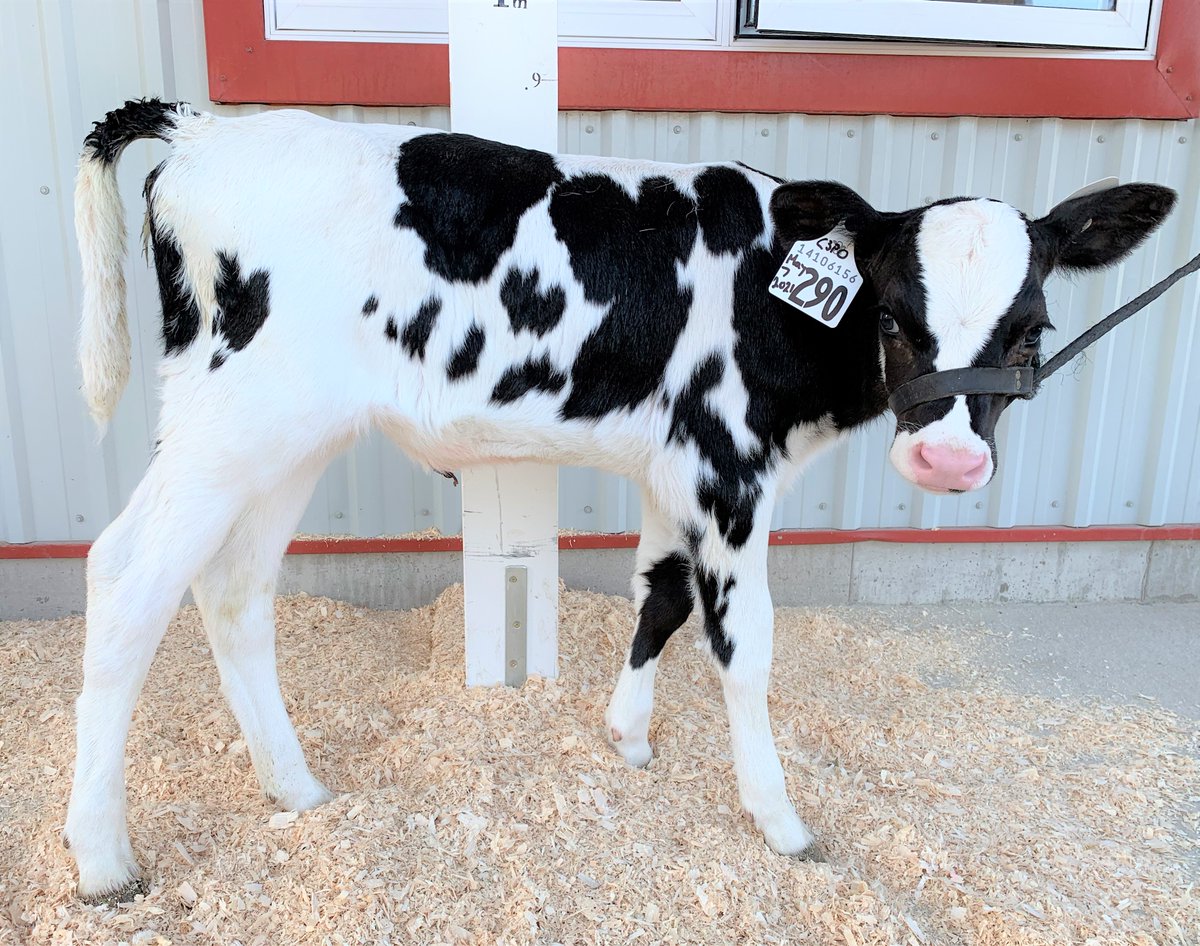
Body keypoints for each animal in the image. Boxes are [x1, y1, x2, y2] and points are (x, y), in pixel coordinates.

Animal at [67, 99, 1175, 902]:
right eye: (896, 316)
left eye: (1032, 328)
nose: (947, 460)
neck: (777, 294)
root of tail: (204, 130)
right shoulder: (729, 468)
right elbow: (743, 645)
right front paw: (779, 821)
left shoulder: (677, 468)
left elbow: (661, 597)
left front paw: (628, 736)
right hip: (231, 421)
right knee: (127, 573)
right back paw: (103, 860)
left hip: (283, 438)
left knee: (231, 588)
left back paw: (293, 786)